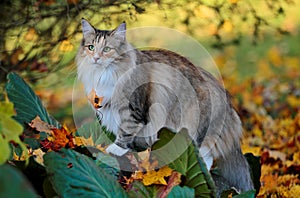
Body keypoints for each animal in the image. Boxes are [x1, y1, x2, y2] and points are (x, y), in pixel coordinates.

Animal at [75, 19, 253, 195]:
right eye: (91, 47)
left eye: (106, 49)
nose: (96, 58)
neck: (104, 75)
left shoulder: (133, 108)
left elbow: (126, 130)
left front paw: (116, 149)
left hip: (194, 127)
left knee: (203, 158)